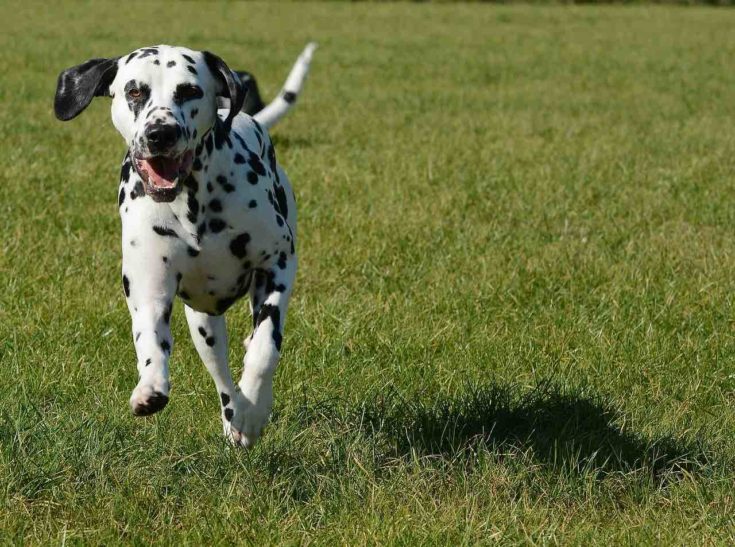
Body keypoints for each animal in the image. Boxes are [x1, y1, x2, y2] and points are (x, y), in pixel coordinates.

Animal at [51, 44, 316, 450]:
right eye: (134, 91)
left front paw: (255, 410)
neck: (193, 204)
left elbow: (265, 347)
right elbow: (149, 340)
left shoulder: (277, 263)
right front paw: (150, 385)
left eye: (189, 91)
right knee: (222, 377)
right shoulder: (149, 288)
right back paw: (232, 414)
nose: (161, 132)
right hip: (204, 325)